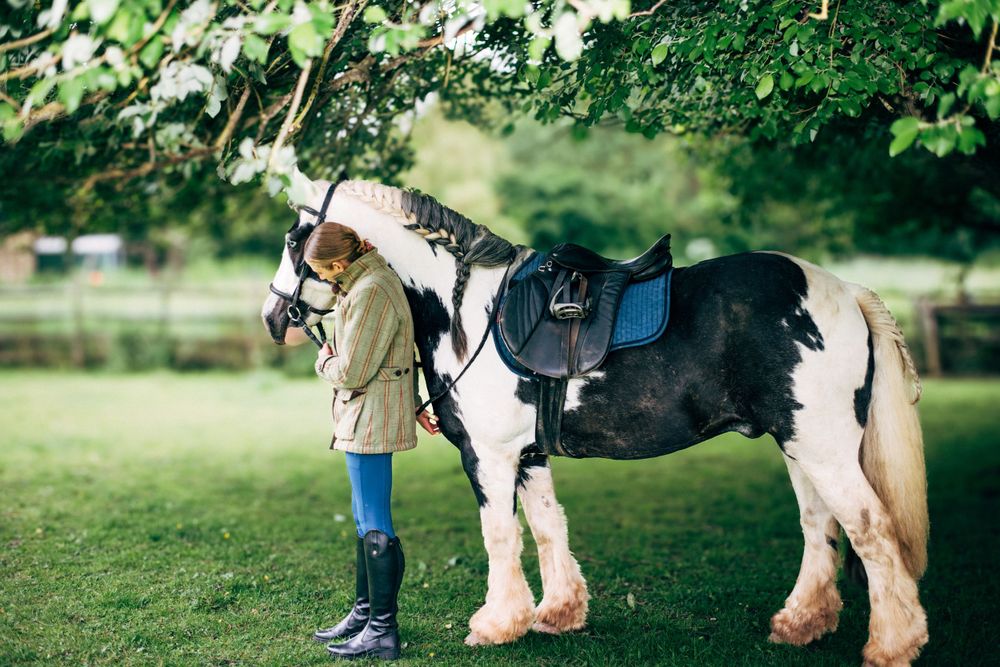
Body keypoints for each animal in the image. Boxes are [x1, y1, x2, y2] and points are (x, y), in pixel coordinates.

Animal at [261, 178, 929, 666]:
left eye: (295, 240)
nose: (273, 316)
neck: (469, 310)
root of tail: (842, 289)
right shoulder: (528, 455)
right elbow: (547, 527)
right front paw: (556, 613)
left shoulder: (489, 456)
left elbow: (500, 536)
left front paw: (496, 624)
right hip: (801, 447)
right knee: (820, 528)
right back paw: (801, 623)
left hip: (824, 449)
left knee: (871, 531)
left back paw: (892, 644)